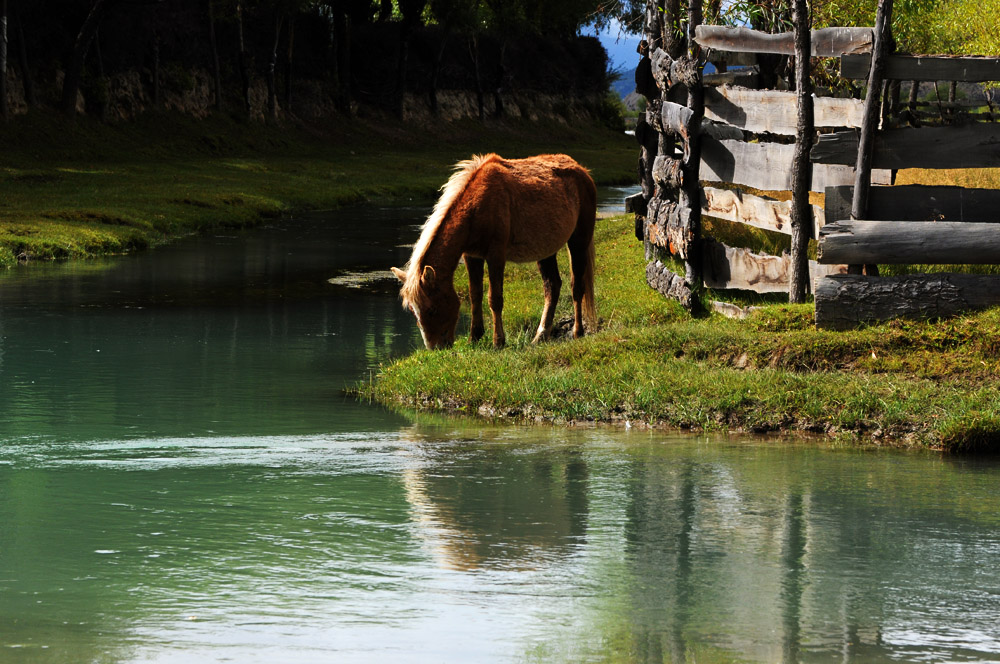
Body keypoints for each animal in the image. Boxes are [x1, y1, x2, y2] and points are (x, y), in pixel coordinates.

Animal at [388, 154, 592, 350]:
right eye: (413, 311)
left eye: (432, 310)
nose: (436, 347)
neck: (476, 206)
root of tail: (582, 171)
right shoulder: (471, 256)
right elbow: (475, 295)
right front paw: (475, 337)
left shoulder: (496, 255)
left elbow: (494, 298)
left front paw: (498, 341)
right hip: (545, 251)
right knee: (552, 286)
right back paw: (540, 336)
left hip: (579, 241)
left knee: (576, 287)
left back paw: (577, 332)